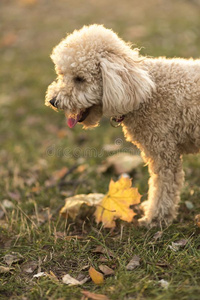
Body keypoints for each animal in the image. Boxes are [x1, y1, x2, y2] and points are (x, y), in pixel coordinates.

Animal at [45, 24, 200, 226]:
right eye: (61, 74)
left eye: (79, 79)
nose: (53, 101)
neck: (144, 93)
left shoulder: (164, 152)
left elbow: (163, 187)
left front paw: (155, 217)